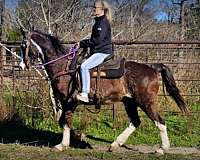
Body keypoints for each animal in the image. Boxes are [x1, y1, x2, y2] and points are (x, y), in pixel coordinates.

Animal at [20, 30, 188, 154]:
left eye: (24, 45)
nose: (22, 65)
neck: (64, 67)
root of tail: (152, 67)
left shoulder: (68, 101)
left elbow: (65, 121)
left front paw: (62, 145)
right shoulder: (68, 103)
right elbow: (64, 121)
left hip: (146, 101)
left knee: (160, 122)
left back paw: (162, 149)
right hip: (130, 102)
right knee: (135, 122)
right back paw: (114, 145)